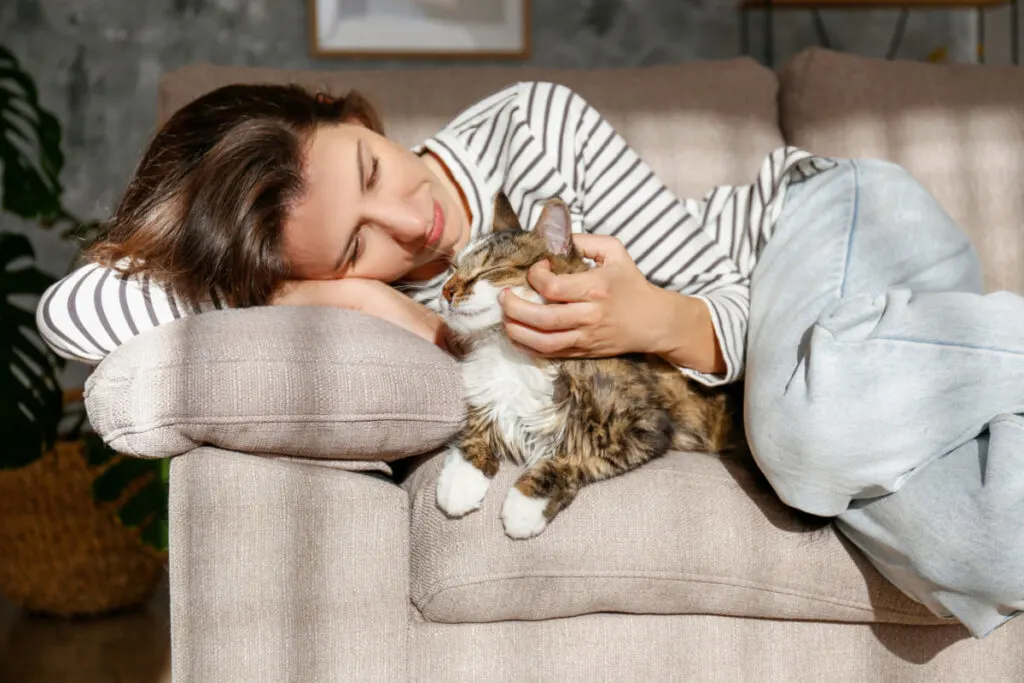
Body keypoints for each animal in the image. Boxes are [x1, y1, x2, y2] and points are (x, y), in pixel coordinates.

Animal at [432, 192, 737, 540]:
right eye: (454, 268)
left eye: (491, 269)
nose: (445, 291)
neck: (509, 349)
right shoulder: (489, 401)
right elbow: (476, 436)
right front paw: (458, 485)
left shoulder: (643, 429)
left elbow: (574, 458)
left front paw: (524, 506)